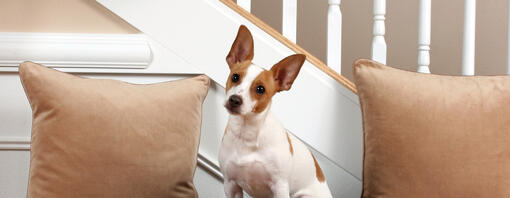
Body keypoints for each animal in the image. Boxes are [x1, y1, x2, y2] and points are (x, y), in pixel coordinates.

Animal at [220, 25, 334, 198]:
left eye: (260, 89)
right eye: (235, 77)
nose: (234, 100)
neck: (247, 134)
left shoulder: (280, 187)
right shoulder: (230, 185)